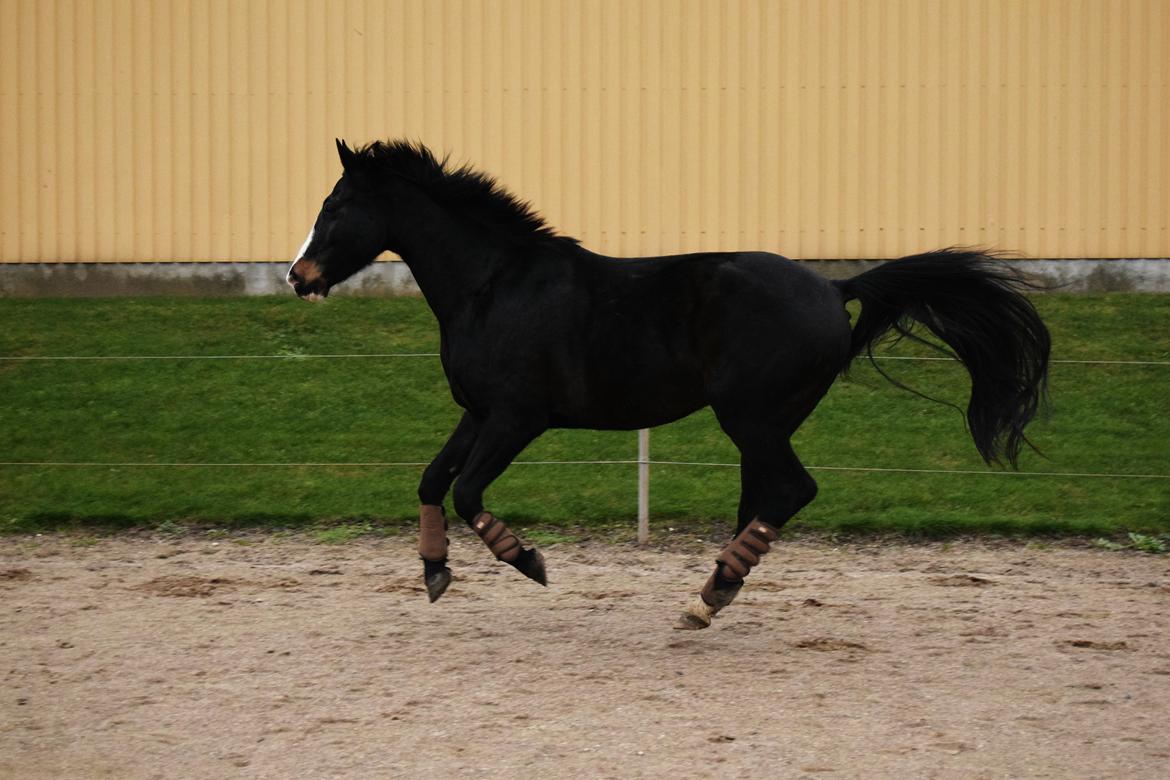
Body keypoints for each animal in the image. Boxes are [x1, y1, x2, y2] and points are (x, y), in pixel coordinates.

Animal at [285, 140, 1053, 626]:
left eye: (336, 207)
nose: (298, 276)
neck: (494, 285)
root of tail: (836, 289)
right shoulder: (476, 413)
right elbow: (430, 481)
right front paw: (435, 574)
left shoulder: (514, 418)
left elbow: (469, 491)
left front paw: (529, 561)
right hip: (766, 424)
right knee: (764, 498)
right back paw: (712, 593)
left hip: (751, 417)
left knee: (792, 491)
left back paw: (706, 600)